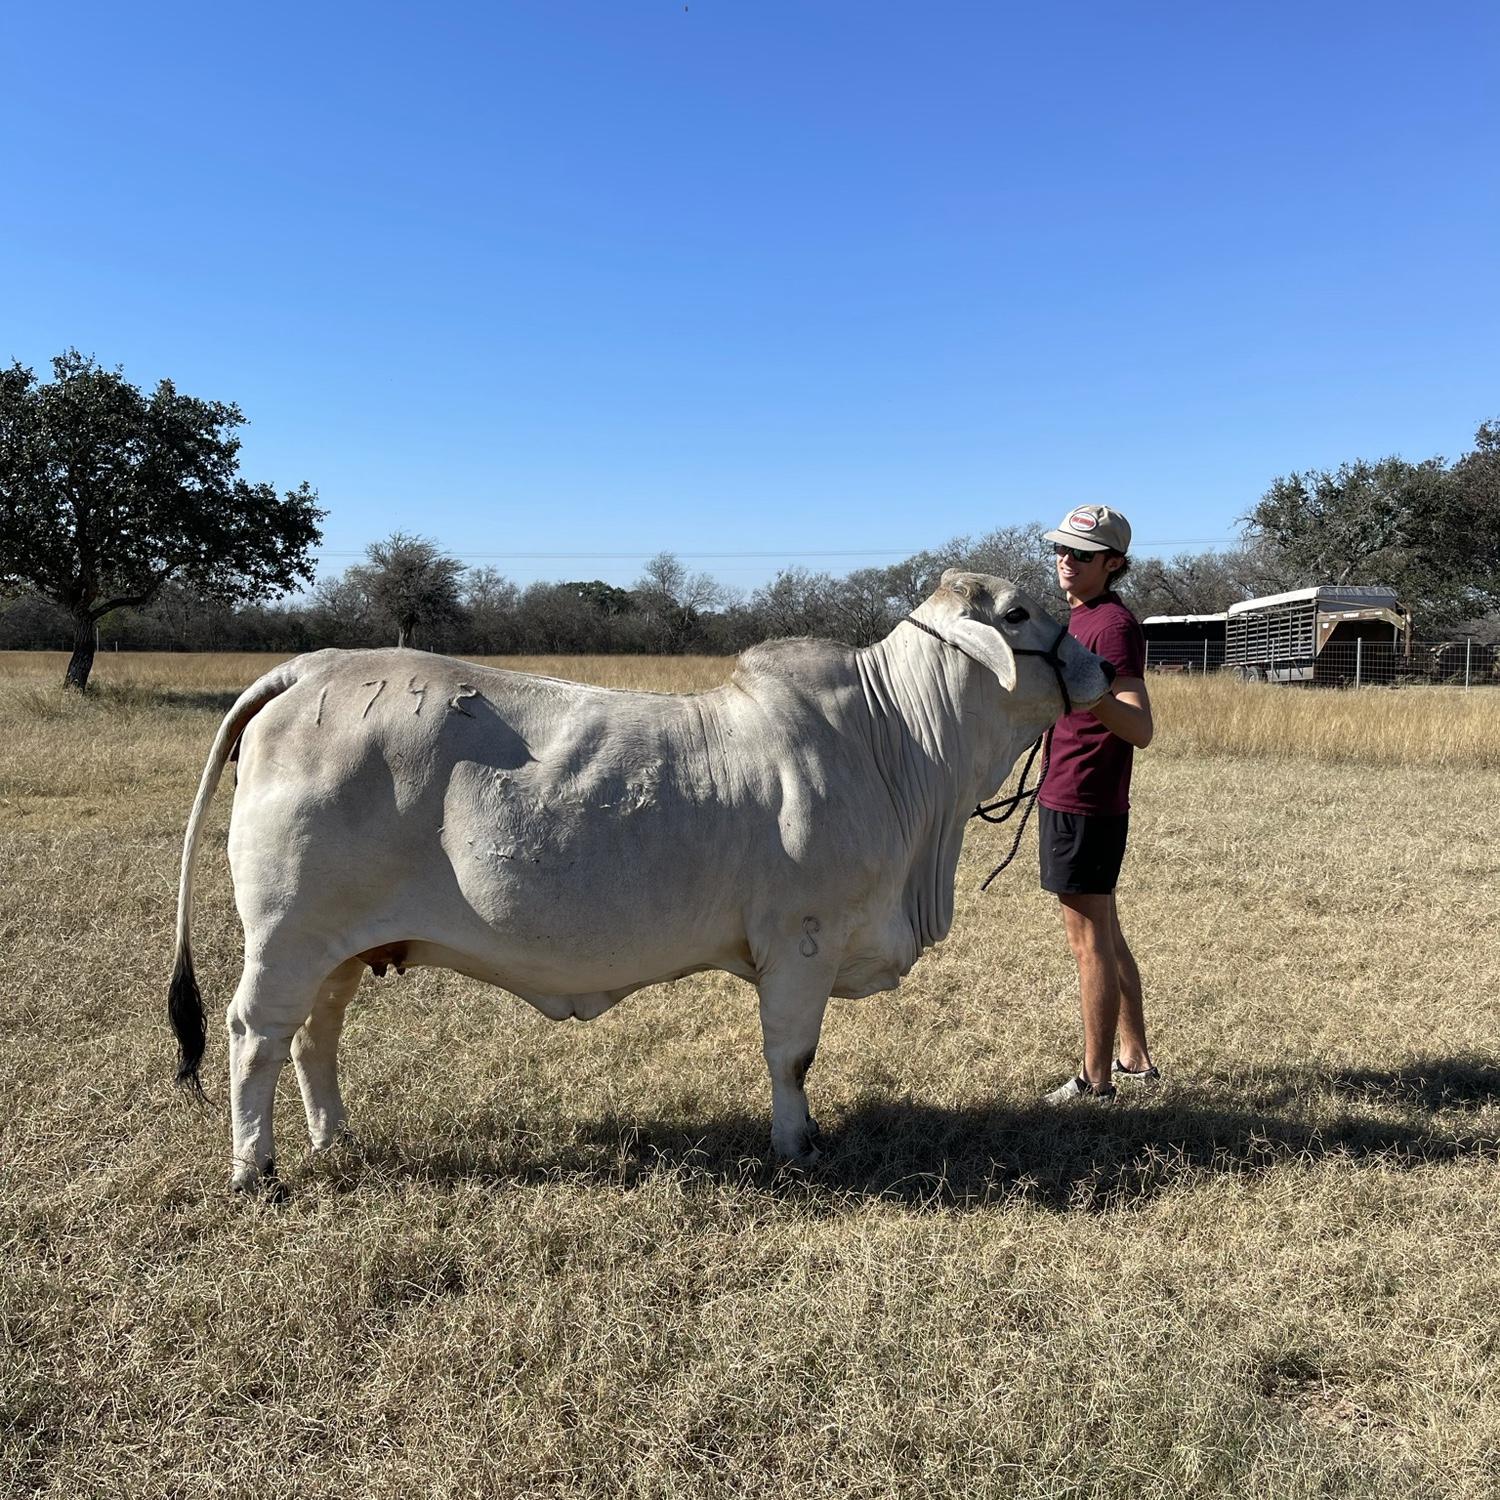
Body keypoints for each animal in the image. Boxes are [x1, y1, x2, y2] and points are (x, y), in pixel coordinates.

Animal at [168, 571, 1111, 1191]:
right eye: (1021, 613)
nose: (1104, 665)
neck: (896, 744)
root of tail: (313, 668)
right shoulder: (801, 943)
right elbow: (792, 1055)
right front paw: (797, 1145)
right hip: (287, 936)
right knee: (257, 1035)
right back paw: (256, 1170)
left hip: (342, 948)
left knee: (314, 1039)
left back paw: (335, 1140)